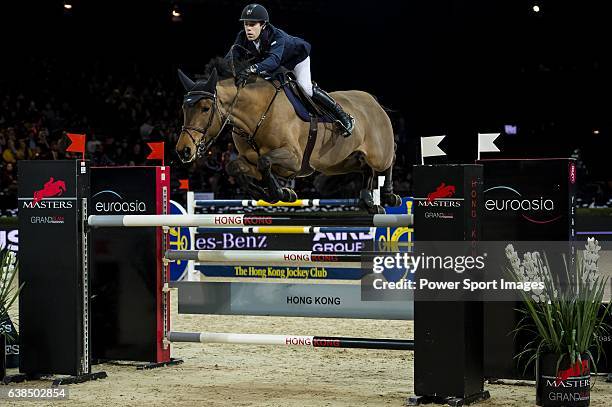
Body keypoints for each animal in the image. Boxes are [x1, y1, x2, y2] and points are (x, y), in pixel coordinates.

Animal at [175, 58, 402, 214]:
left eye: (205, 108)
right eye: (184, 108)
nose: (183, 150)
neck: (258, 115)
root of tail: (374, 101)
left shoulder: (294, 159)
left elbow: (265, 162)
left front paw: (281, 193)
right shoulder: (248, 159)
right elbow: (236, 167)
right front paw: (266, 193)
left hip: (378, 154)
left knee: (390, 158)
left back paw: (389, 196)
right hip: (340, 163)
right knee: (365, 169)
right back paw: (368, 202)